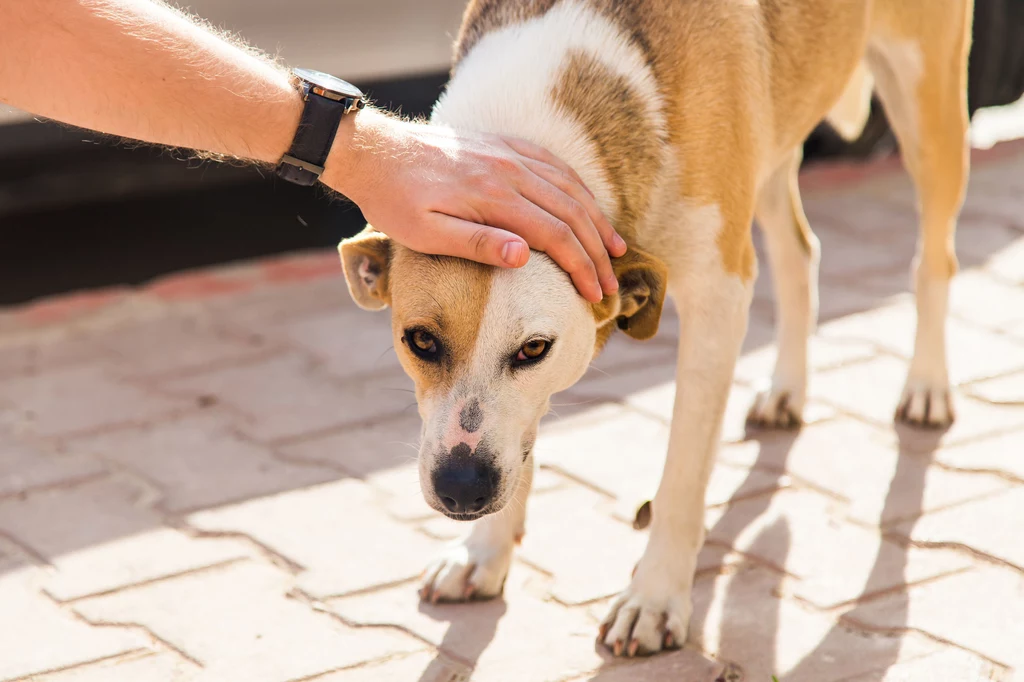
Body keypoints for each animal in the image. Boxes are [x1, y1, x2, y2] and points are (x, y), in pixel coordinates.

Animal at [339, 1, 970, 659]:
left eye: (534, 349)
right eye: (420, 341)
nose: (461, 488)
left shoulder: (719, 295)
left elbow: (683, 478)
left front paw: (655, 598)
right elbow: (520, 445)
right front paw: (483, 552)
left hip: (928, 107)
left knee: (934, 258)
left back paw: (927, 386)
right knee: (800, 253)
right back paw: (787, 391)